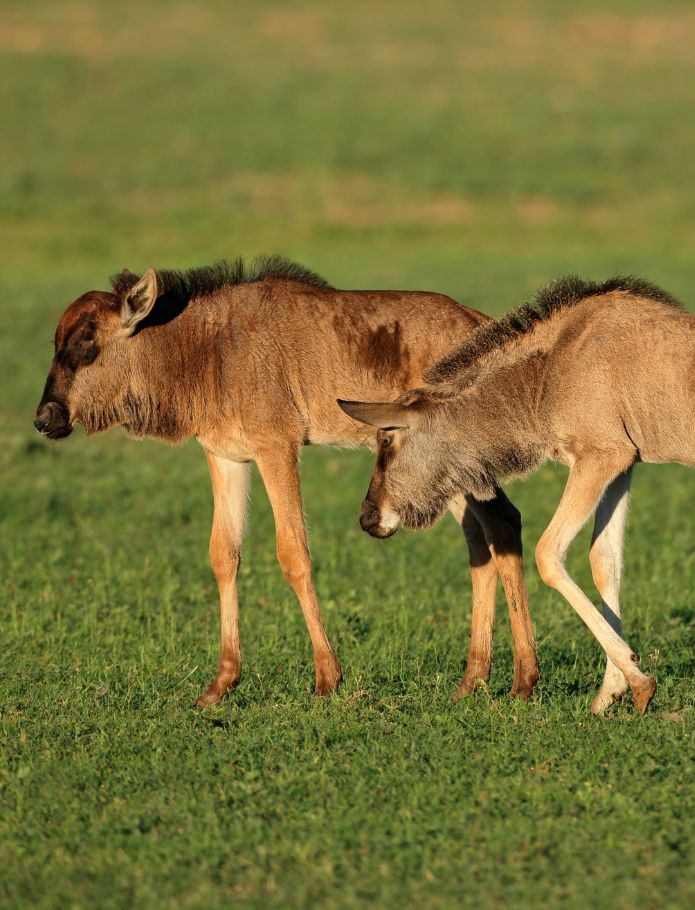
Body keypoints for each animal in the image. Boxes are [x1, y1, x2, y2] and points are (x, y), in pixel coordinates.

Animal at [34, 256, 540, 704]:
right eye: (56, 340)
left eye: (86, 340)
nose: (45, 419)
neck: (206, 348)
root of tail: (481, 324)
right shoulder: (225, 455)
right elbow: (223, 553)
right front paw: (221, 684)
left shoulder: (277, 448)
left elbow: (293, 552)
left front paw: (327, 678)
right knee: (479, 537)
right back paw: (472, 680)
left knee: (503, 523)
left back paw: (524, 680)